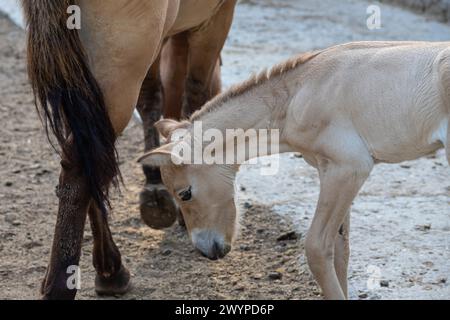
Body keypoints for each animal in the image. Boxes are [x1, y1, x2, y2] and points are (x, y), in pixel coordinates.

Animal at [22, 0, 236, 300]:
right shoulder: (214, 19)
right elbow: (194, 95)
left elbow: (154, 94)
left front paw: (156, 184)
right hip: (120, 65)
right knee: (82, 167)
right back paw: (62, 284)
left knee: (90, 156)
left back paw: (110, 269)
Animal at [141, 41, 450, 298]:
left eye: (185, 193)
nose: (207, 251)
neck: (298, 94)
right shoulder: (329, 170)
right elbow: (339, 250)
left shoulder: (350, 167)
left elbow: (316, 247)